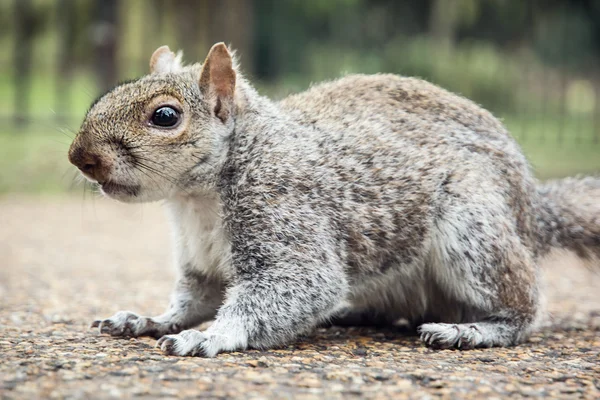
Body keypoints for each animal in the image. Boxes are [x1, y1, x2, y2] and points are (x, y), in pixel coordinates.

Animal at [67, 43, 600, 356]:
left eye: (165, 116)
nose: (80, 156)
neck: (197, 199)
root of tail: (534, 213)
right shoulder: (202, 261)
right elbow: (193, 298)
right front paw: (148, 318)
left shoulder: (286, 212)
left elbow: (300, 287)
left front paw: (209, 335)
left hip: (474, 230)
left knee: (523, 309)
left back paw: (472, 331)